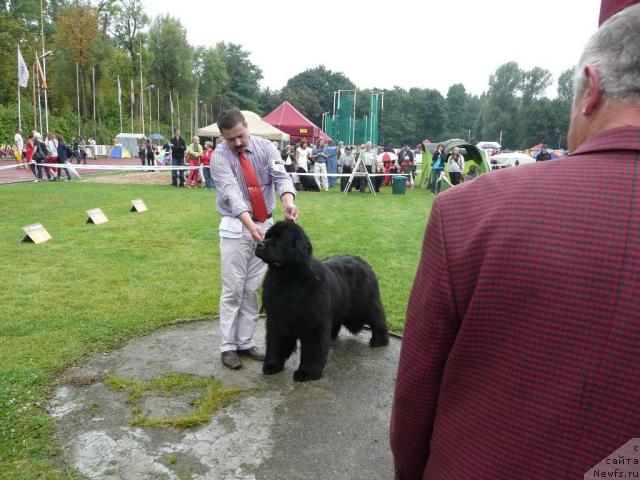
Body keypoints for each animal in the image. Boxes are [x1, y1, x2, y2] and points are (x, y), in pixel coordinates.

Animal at [255, 221, 390, 382]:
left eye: (279, 239)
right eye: (266, 236)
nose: (259, 244)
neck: (287, 278)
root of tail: (363, 261)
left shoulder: (314, 323)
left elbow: (312, 349)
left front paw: (307, 372)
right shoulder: (277, 320)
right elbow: (276, 343)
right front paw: (272, 365)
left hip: (366, 305)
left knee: (377, 318)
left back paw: (379, 340)